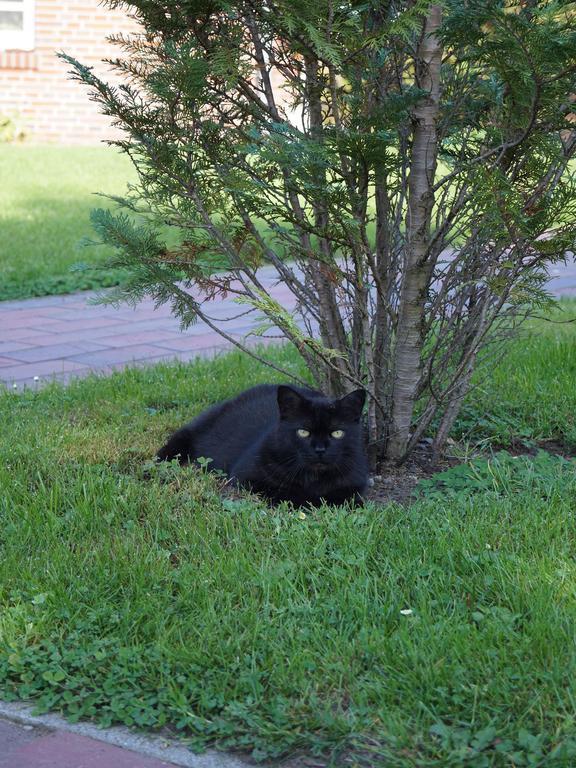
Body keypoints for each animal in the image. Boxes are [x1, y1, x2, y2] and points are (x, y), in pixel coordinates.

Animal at [155, 382, 366, 504]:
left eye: (337, 433)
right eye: (303, 432)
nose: (320, 449)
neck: (314, 478)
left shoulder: (356, 484)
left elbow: (344, 498)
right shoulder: (247, 478)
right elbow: (289, 494)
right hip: (192, 431)